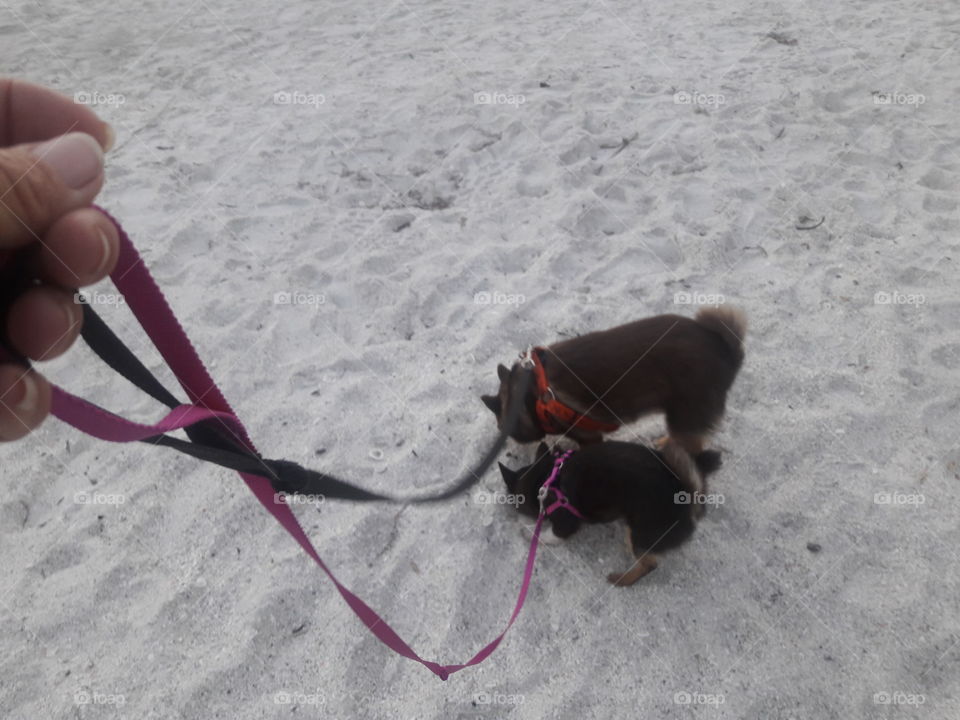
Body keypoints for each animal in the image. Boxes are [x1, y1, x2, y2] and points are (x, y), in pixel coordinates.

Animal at [502, 438, 720, 584]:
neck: (546, 478)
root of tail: (686, 497)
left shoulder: (564, 524)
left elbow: (547, 534)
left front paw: (529, 530)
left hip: (639, 533)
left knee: (648, 565)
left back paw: (622, 579)